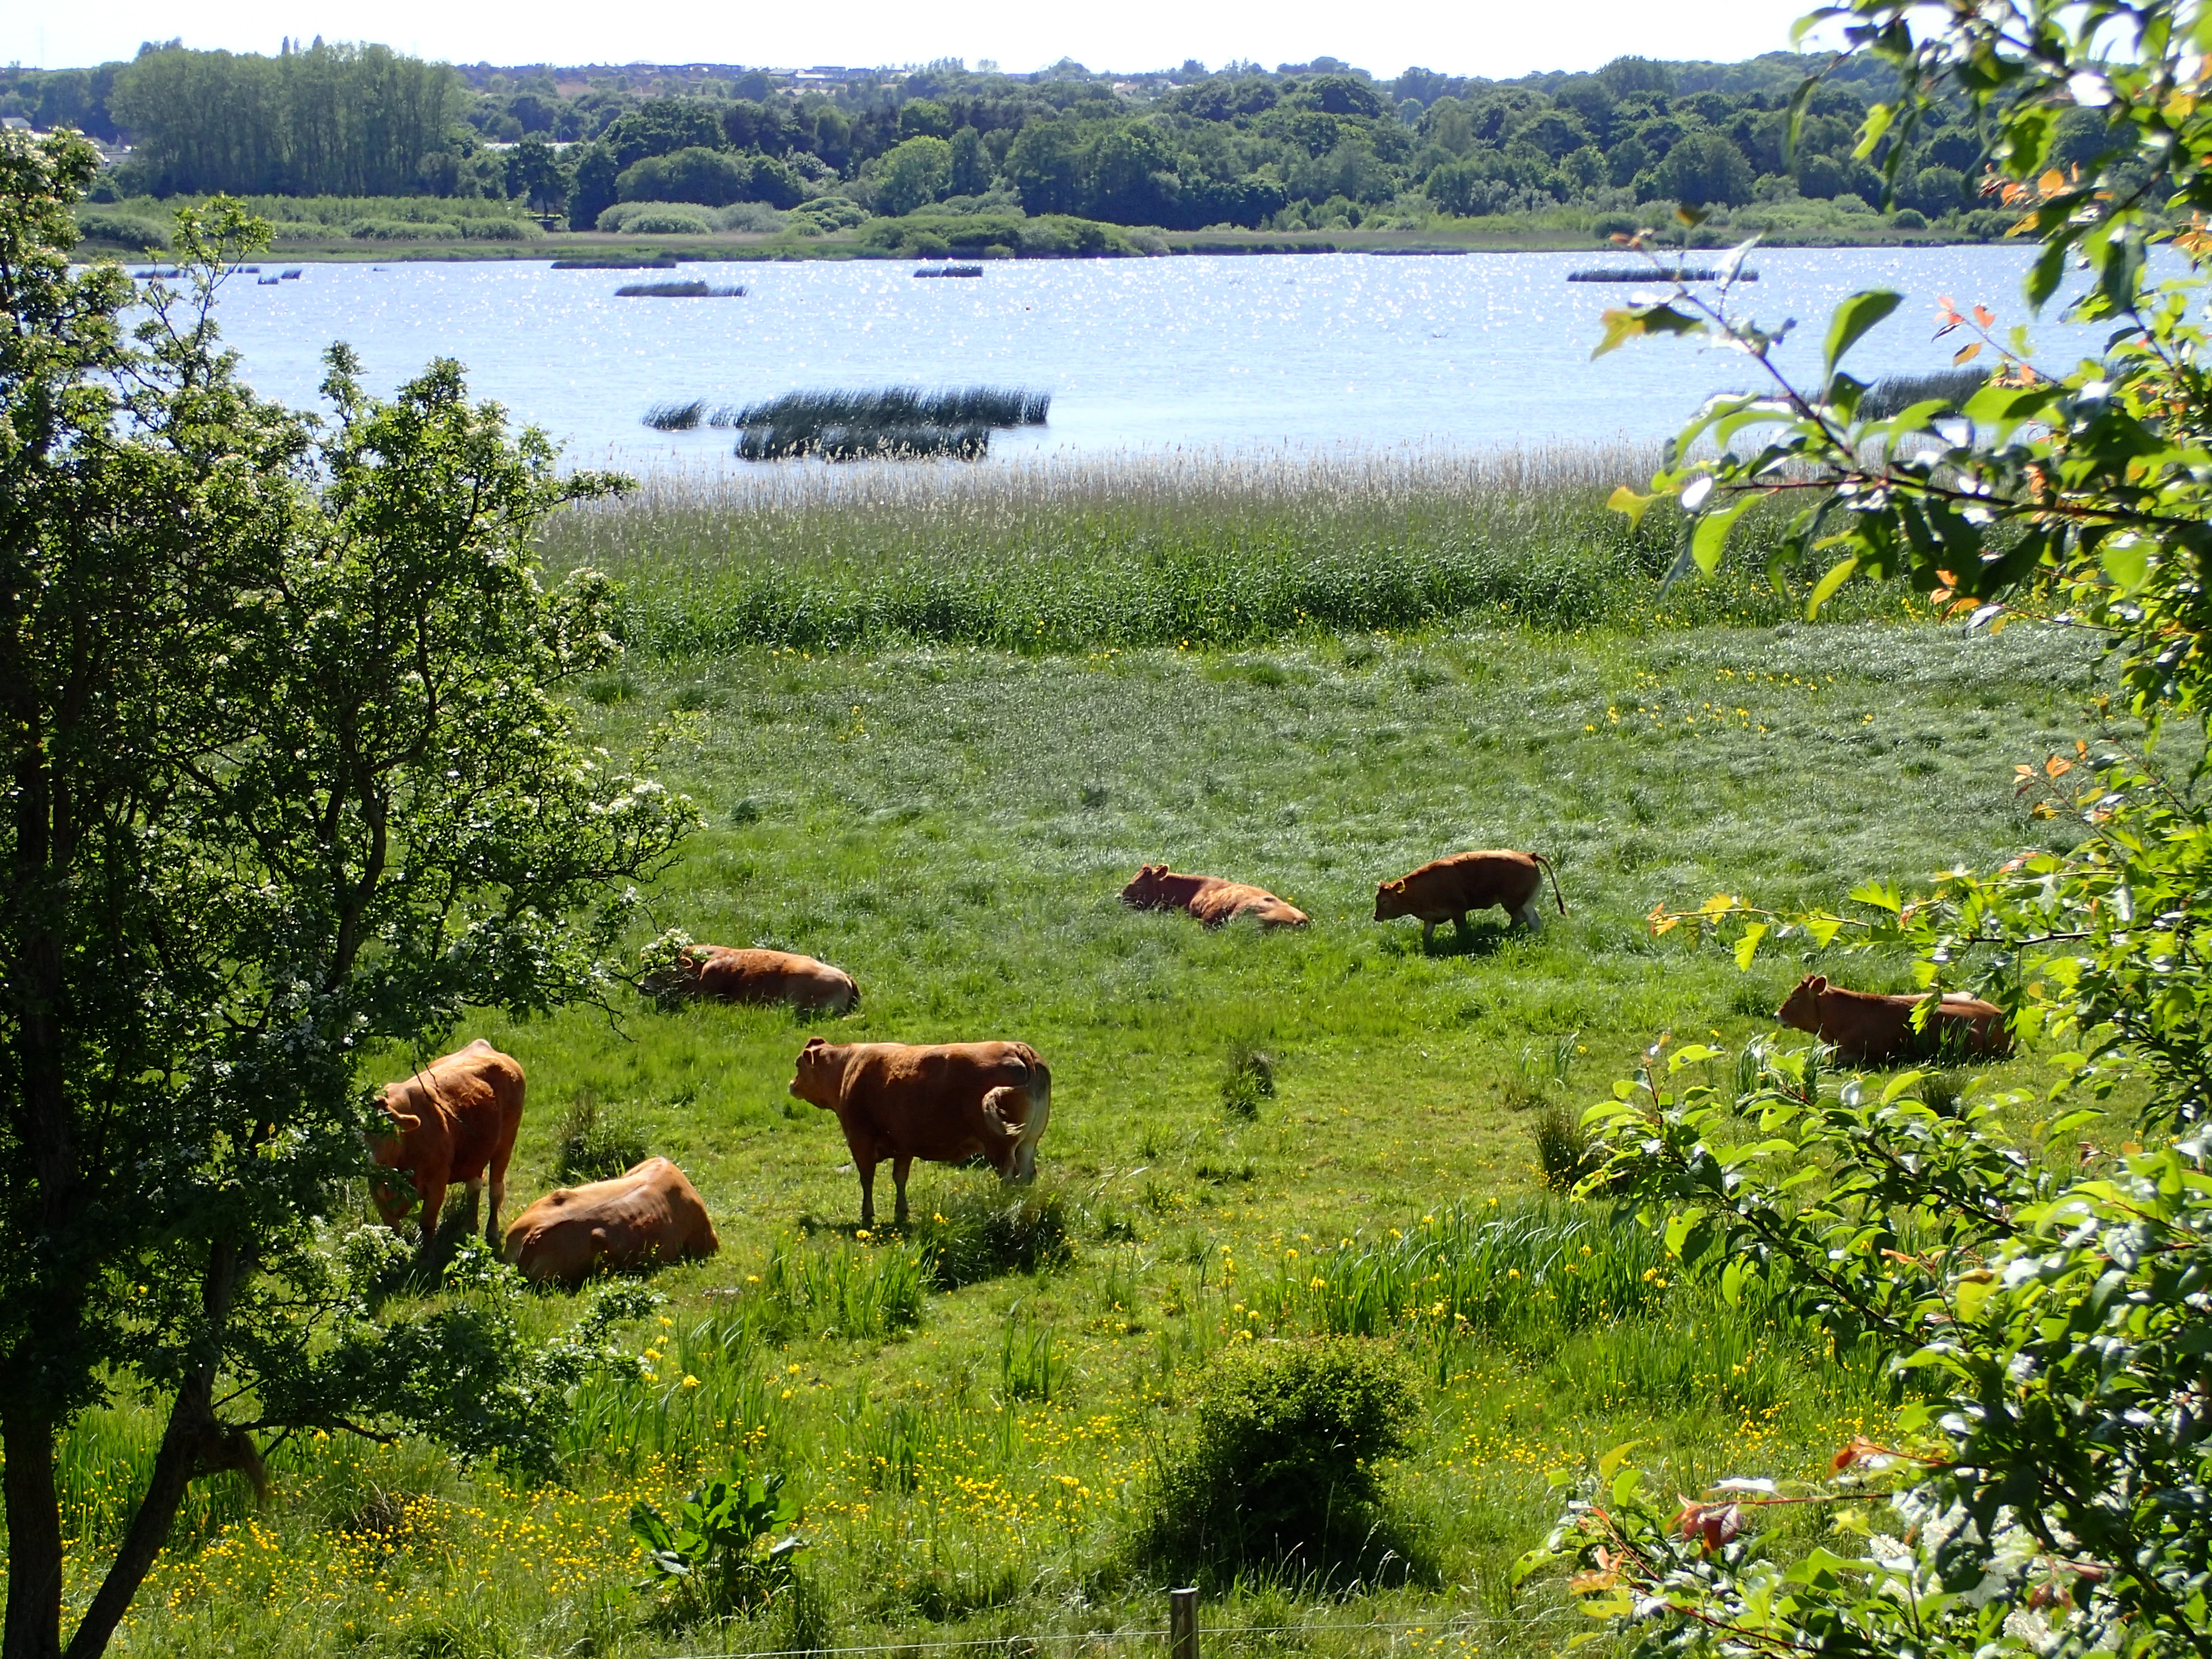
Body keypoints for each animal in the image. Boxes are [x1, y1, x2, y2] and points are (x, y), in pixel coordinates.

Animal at [366, 1039, 526, 1252]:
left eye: (385, 1130)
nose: (366, 1160)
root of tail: (482, 1044)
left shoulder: (437, 1182)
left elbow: (427, 1224)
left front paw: (426, 1257)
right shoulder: (376, 1189)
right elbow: (392, 1228)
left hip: (506, 1141)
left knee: (496, 1189)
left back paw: (492, 1231)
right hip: (477, 1149)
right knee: (474, 1185)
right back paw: (470, 1226)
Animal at [788, 1038, 1051, 1228]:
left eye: (798, 1064)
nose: (792, 1085)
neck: (848, 1068)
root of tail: (1019, 1048)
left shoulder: (860, 1140)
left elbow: (867, 1178)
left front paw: (867, 1215)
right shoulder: (903, 1144)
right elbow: (900, 1177)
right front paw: (901, 1212)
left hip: (1000, 1145)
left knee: (1010, 1178)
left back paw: (1003, 1210)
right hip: (1029, 1142)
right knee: (1027, 1175)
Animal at [1373, 849, 1565, 944]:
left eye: (1384, 901)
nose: (1376, 917)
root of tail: (1528, 856)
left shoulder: (1458, 912)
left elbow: (1462, 930)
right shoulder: (1430, 918)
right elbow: (1426, 934)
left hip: (1513, 904)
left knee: (1522, 918)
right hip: (1526, 903)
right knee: (1533, 921)